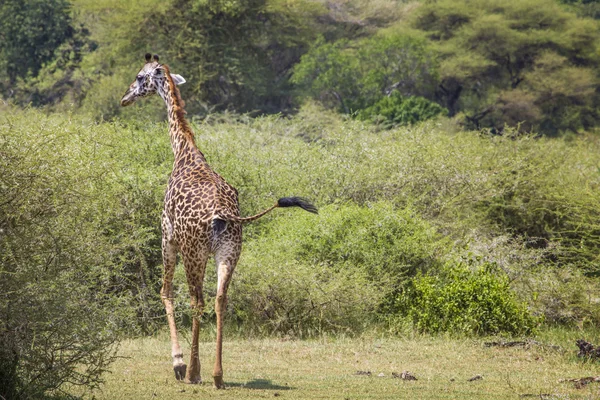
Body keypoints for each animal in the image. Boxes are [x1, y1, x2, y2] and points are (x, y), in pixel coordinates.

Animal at [122, 53, 318, 388]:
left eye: (139, 77)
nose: (125, 98)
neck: (184, 151)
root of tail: (222, 214)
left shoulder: (166, 234)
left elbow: (165, 292)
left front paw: (178, 364)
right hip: (230, 251)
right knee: (220, 299)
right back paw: (216, 374)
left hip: (194, 252)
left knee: (196, 300)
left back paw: (192, 372)